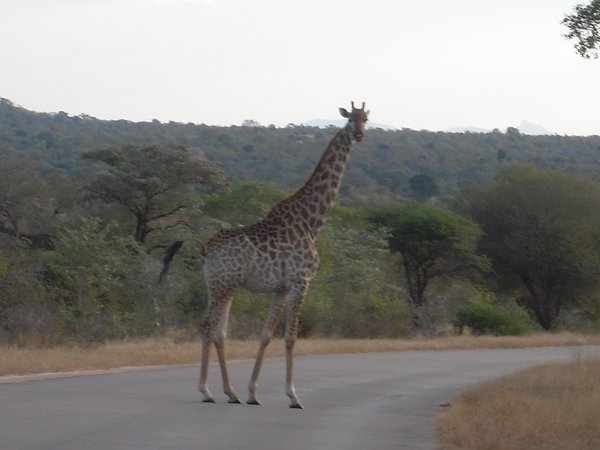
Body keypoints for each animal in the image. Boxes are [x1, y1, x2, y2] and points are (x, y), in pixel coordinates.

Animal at [200, 102, 370, 408]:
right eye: (351, 118)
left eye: (367, 118)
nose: (360, 134)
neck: (312, 223)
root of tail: (207, 250)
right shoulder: (301, 282)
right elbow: (291, 338)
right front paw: (293, 395)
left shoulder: (280, 288)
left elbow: (266, 335)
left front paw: (253, 393)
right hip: (222, 286)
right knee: (207, 326)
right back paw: (206, 391)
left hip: (220, 286)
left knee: (217, 331)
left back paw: (230, 393)